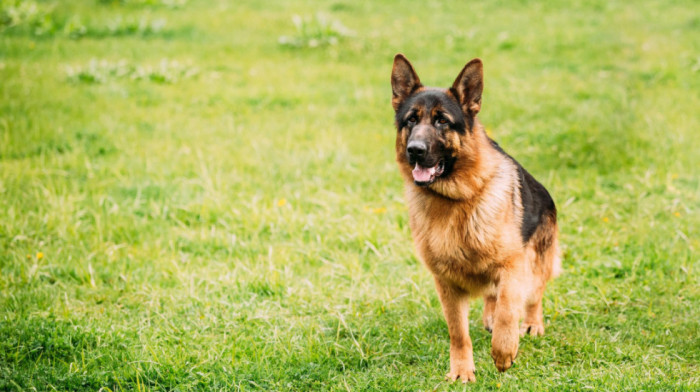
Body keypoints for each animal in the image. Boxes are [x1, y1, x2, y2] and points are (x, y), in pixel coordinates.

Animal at [392, 53, 560, 382]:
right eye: (411, 120)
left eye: (442, 120)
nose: (415, 150)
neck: (456, 200)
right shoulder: (446, 284)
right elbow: (458, 332)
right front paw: (461, 371)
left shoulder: (512, 265)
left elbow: (508, 309)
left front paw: (504, 352)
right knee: (492, 295)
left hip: (535, 263)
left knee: (532, 296)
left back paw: (531, 324)